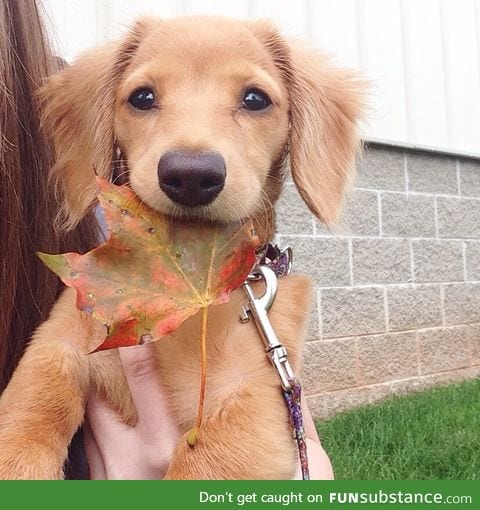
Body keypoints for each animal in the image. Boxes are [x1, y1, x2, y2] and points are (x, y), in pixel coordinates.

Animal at [0, 14, 362, 478]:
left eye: (255, 99)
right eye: (142, 97)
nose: (190, 175)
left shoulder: (254, 400)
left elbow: (197, 464)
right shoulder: (59, 343)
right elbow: (28, 414)